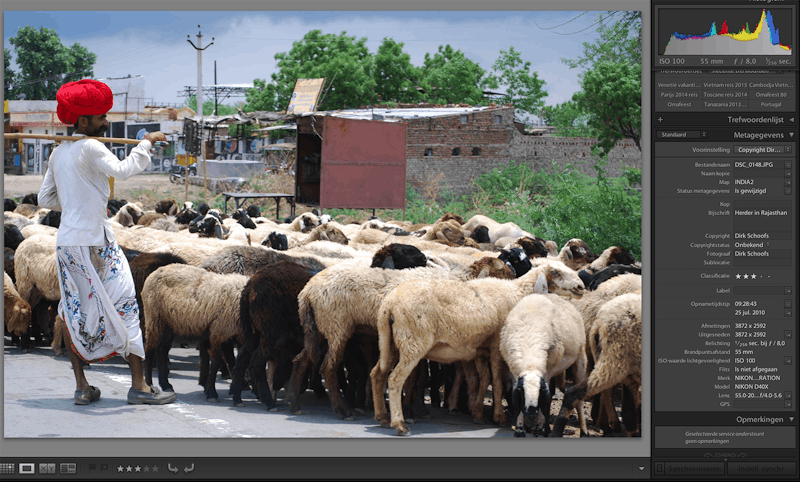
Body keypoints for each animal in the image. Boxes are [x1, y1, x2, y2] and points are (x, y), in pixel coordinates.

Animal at [290, 256, 516, 418]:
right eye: (501, 270)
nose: (516, 281)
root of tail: (307, 292)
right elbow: (416, 376)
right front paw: (411, 409)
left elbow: (418, 375)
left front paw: (414, 408)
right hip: (337, 325)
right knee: (328, 367)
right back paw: (342, 410)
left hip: (320, 328)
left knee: (302, 360)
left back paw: (293, 404)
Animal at [500, 294, 588, 436]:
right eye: (522, 392)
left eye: (540, 392)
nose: (531, 416)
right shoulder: (515, 375)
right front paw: (520, 429)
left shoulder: (546, 373)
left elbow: (544, 406)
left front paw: (540, 429)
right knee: (552, 394)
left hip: (580, 357)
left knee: (579, 400)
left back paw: (584, 431)